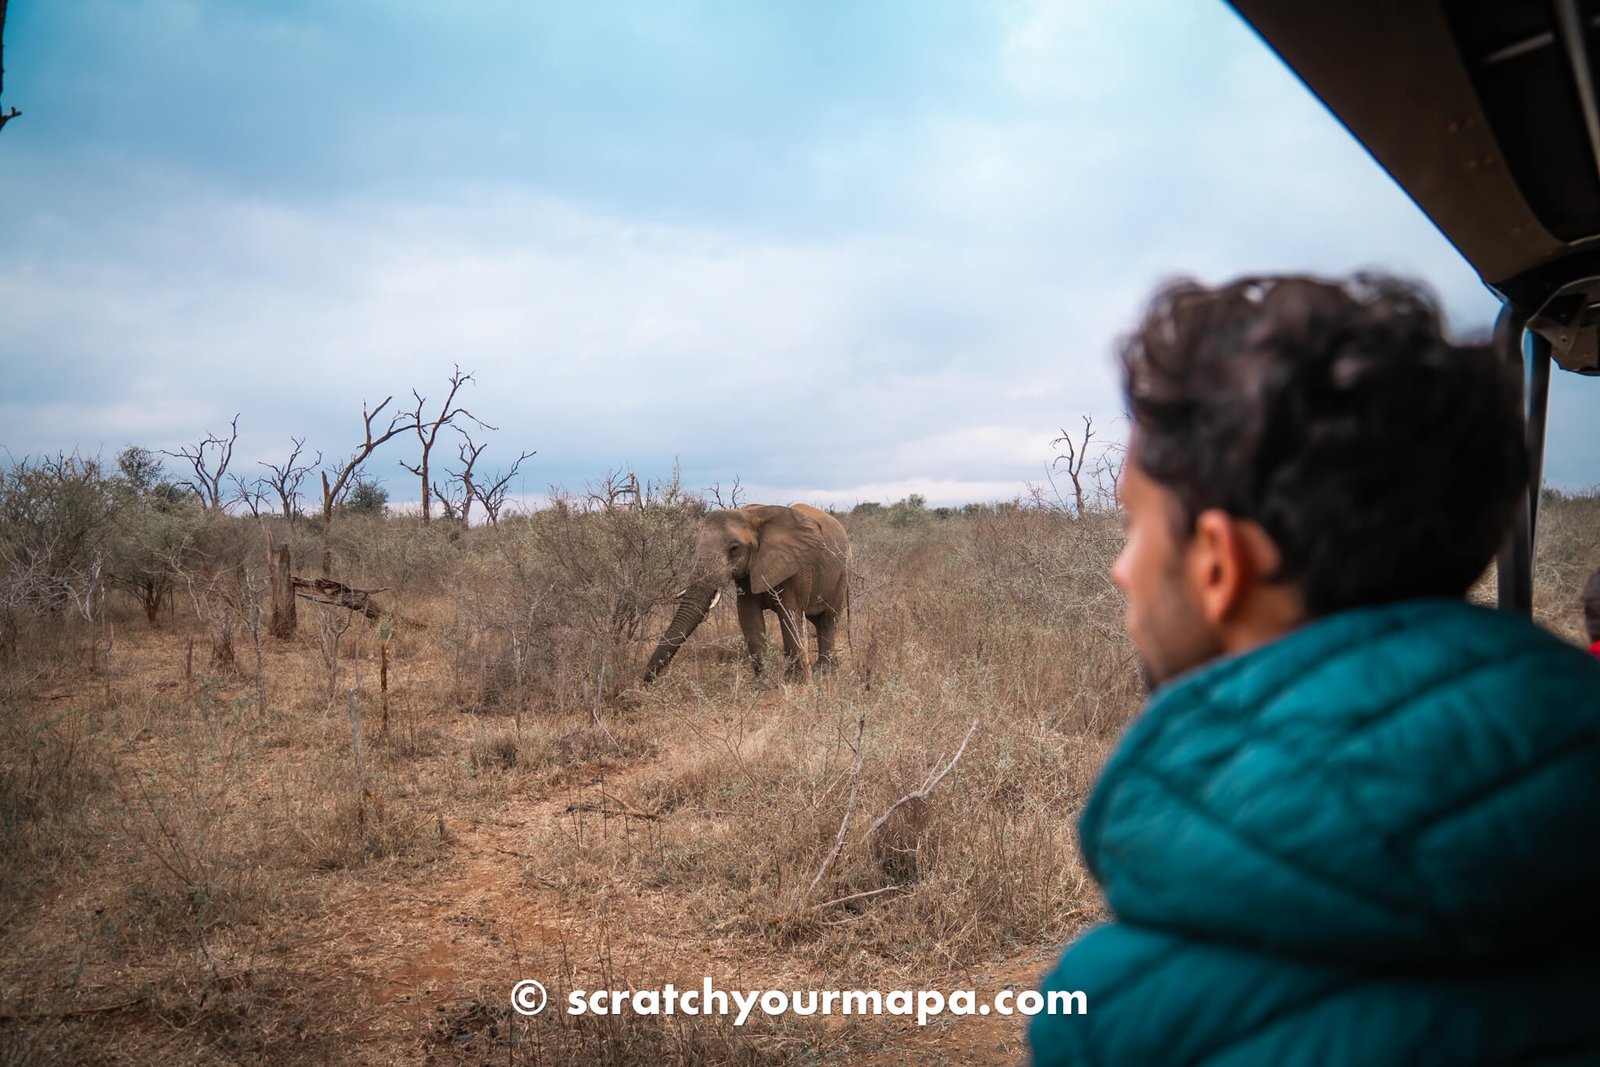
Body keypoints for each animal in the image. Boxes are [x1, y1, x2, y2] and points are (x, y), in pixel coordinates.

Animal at [646, 502, 857, 684]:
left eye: (734, 549)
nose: (646, 682)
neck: (752, 514)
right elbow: (749, 616)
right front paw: (761, 684)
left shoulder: (796, 568)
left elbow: (788, 614)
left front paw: (794, 681)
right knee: (818, 621)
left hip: (842, 573)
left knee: (828, 620)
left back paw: (824, 671)